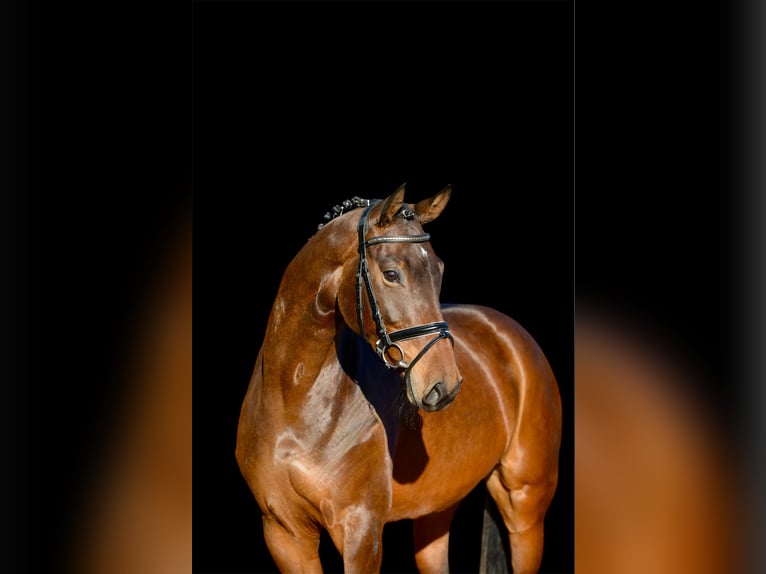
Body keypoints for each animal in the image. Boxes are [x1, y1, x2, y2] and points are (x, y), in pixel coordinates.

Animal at [235, 184, 562, 573]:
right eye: (391, 274)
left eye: (438, 269)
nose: (443, 384)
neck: (294, 402)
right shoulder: (285, 534)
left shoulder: (362, 532)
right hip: (437, 511)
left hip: (525, 505)